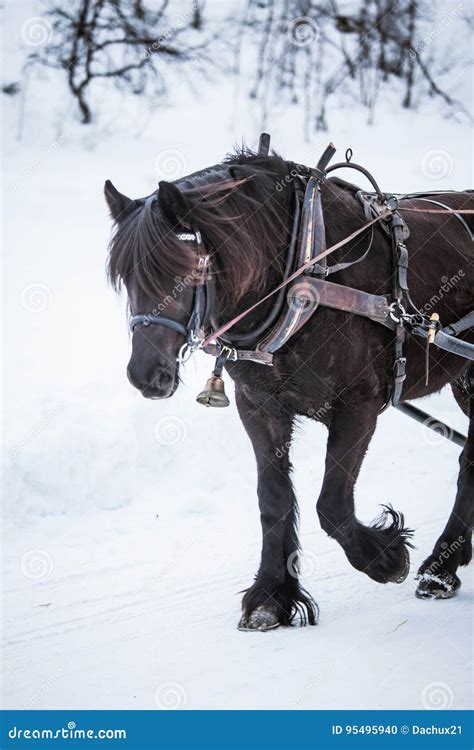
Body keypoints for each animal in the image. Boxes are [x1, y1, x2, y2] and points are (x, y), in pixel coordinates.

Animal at [105, 144, 472, 632]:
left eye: (187, 272)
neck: (302, 270)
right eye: (126, 277)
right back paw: (444, 568)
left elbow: (332, 504)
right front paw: (270, 596)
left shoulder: (359, 402)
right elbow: (273, 499)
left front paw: (385, 558)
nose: (145, 375)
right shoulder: (259, 406)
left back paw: (439, 568)